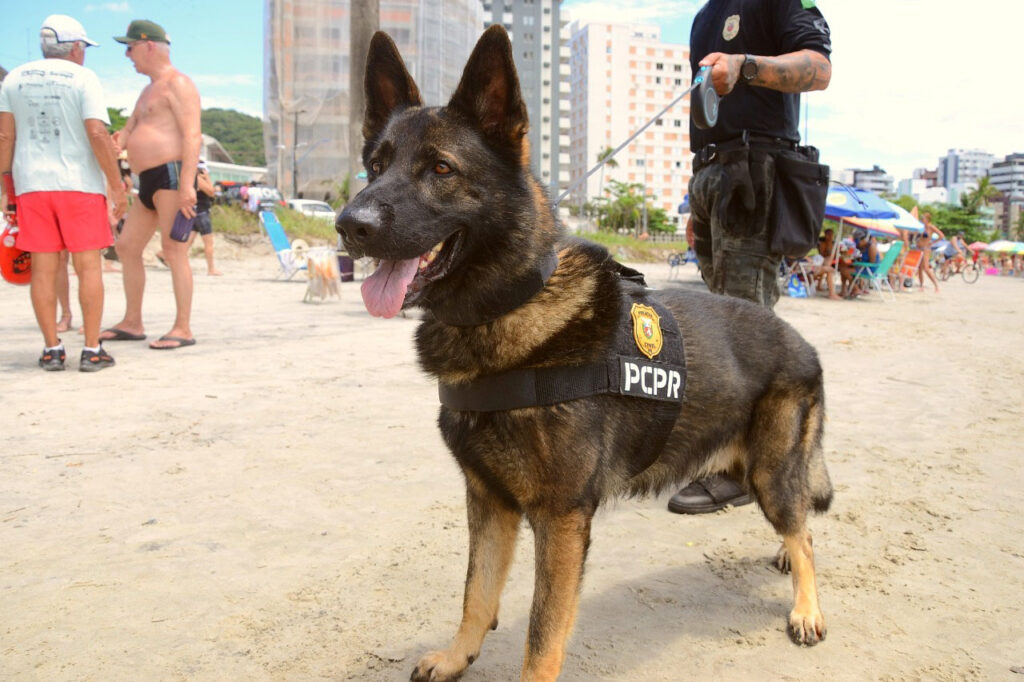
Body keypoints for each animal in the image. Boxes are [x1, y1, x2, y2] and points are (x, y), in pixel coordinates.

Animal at [335, 25, 831, 679]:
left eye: (440, 168)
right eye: (374, 166)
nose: (349, 225)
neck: (504, 309)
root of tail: (801, 340)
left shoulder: (561, 518)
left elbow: (542, 634)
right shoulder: (489, 501)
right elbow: (477, 593)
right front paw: (457, 655)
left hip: (772, 472)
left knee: (805, 531)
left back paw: (806, 606)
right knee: (797, 522)